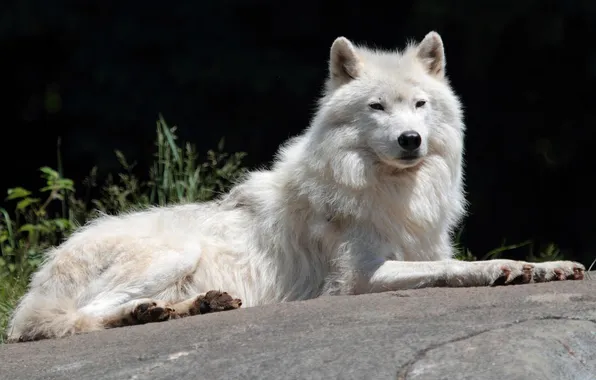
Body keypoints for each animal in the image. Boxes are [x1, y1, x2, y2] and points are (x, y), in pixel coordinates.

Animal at [8, 31, 588, 342]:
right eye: (377, 107)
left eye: (420, 105)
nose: (410, 139)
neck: (389, 191)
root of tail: (41, 280)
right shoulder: (357, 279)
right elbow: (456, 268)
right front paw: (502, 270)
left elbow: (472, 259)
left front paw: (548, 268)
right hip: (175, 253)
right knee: (82, 317)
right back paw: (146, 313)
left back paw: (195, 307)